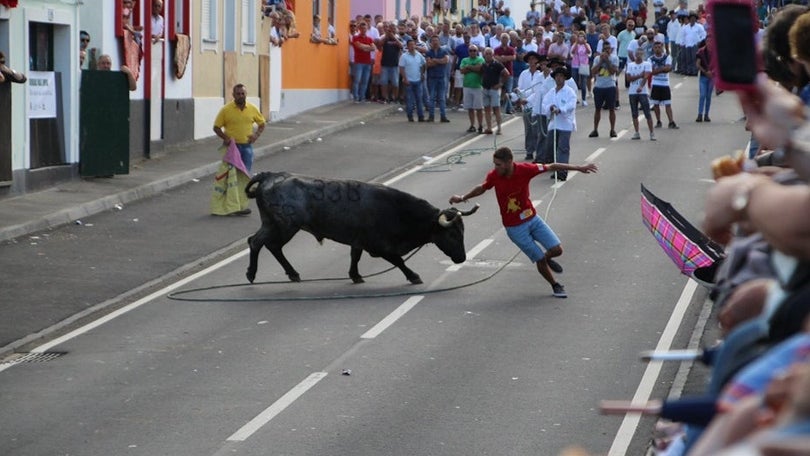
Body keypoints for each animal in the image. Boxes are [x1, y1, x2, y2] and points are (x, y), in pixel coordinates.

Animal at [243, 172, 476, 284]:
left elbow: (354, 257)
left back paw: (291, 273)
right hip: (284, 226)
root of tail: (270, 175)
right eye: (453, 233)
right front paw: (414, 276)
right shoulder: (380, 247)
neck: (398, 210)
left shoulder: (358, 240)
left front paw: (355, 275)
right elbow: (399, 261)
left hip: (274, 224)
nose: (462, 258)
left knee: (267, 245)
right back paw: (253, 274)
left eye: (463, 231)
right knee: (259, 242)